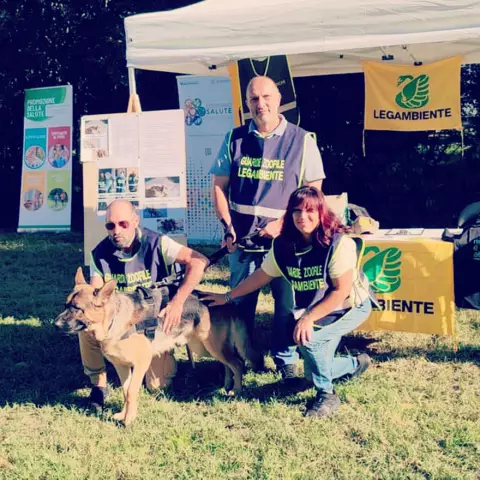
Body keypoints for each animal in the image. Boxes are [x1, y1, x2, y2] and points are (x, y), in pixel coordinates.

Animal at [54, 268, 253, 426]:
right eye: (66, 305)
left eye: (77, 308)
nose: (54, 324)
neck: (113, 320)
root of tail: (224, 301)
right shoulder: (122, 366)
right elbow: (125, 391)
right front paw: (123, 414)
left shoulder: (141, 363)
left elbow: (132, 391)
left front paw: (129, 420)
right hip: (203, 347)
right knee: (227, 364)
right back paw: (227, 384)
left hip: (210, 346)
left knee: (237, 363)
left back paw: (237, 390)